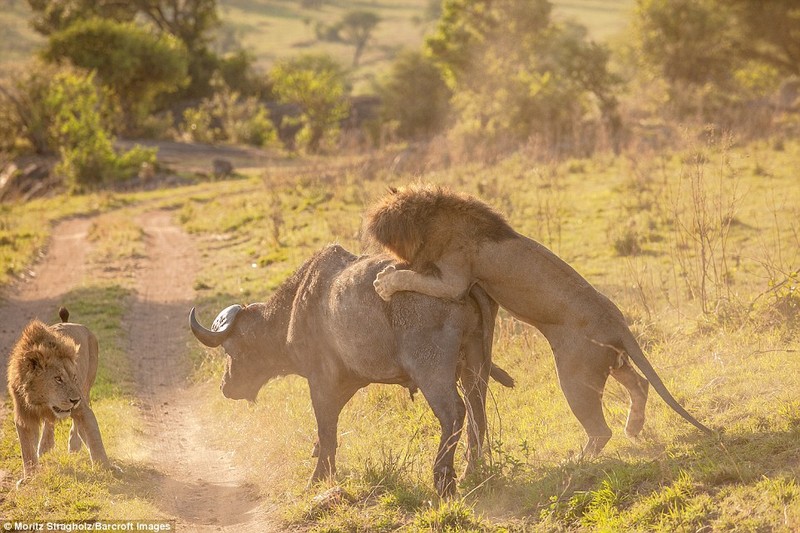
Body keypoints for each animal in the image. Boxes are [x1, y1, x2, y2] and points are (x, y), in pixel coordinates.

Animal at [7, 306, 111, 480]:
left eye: (73, 377)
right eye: (58, 379)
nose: (75, 400)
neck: (42, 401)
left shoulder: (82, 408)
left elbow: (95, 438)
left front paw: (107, 468)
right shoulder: (24, 415)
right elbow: (27, 450)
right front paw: (30, 477)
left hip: (87, 386)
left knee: (76, 425)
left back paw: (74, 446)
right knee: (49, 424)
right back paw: (45, 447)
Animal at [188, 244, 512, 494]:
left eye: (230, 350)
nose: (226, 386)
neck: (298, 306)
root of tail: (466, 286)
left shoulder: (320, 380)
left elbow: (326, 427)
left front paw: (317, 478)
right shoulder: (350, 381)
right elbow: (329, 426)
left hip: (432, 370)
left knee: (454, 412)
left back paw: (443, 478)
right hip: (474, 364)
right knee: (477, 410)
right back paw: (472, 471)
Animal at [368, 184, 712, 454]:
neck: (435, 218)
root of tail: (618, 321)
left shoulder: (454, 280)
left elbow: (413, 277)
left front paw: (384, 282)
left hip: (575, 374)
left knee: (601, 430)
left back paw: (579, 460)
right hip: (609, 359)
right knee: (640, 384)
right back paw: (633, 428)